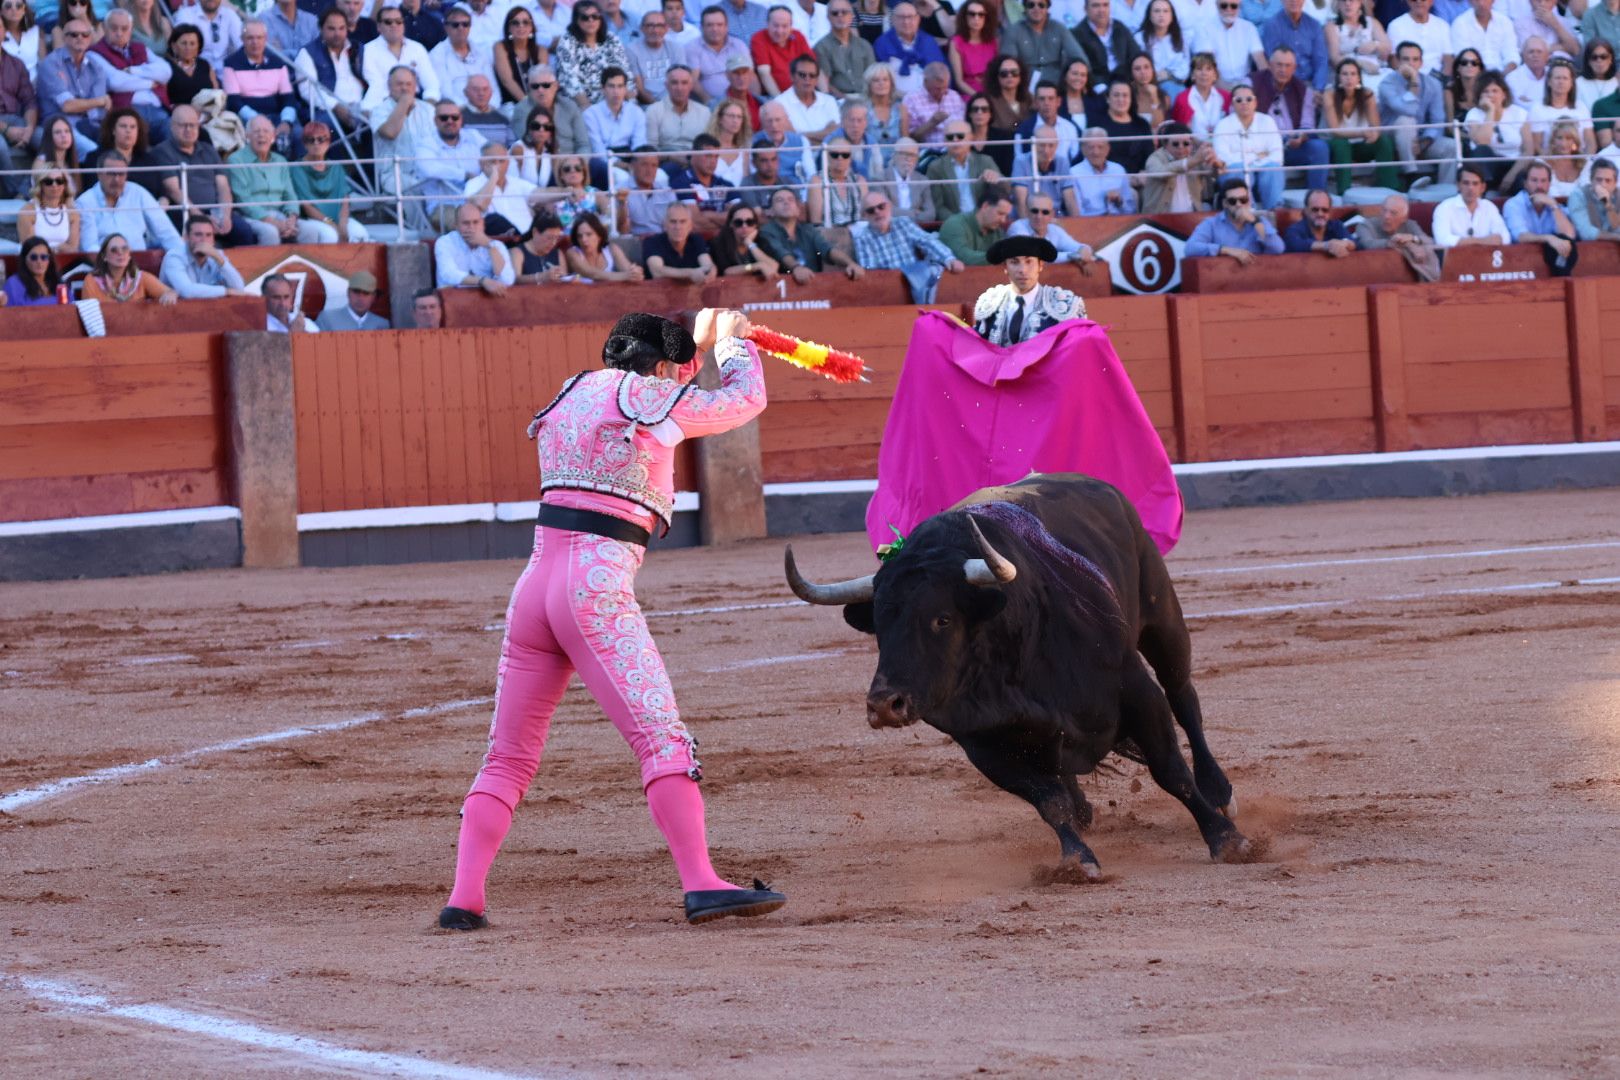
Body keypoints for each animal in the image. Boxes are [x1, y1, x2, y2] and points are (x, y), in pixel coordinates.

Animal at [784, 472, 1250, 880]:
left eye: (942, 619)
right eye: (879, 624)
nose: (884, 705)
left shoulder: (1136, 689)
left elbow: (1171, 771)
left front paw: (1226, 840)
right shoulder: (982, 745)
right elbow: (1050, 802)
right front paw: (1078, 859)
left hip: (1162, 618)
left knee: (1184, 697)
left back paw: (1219, 792)